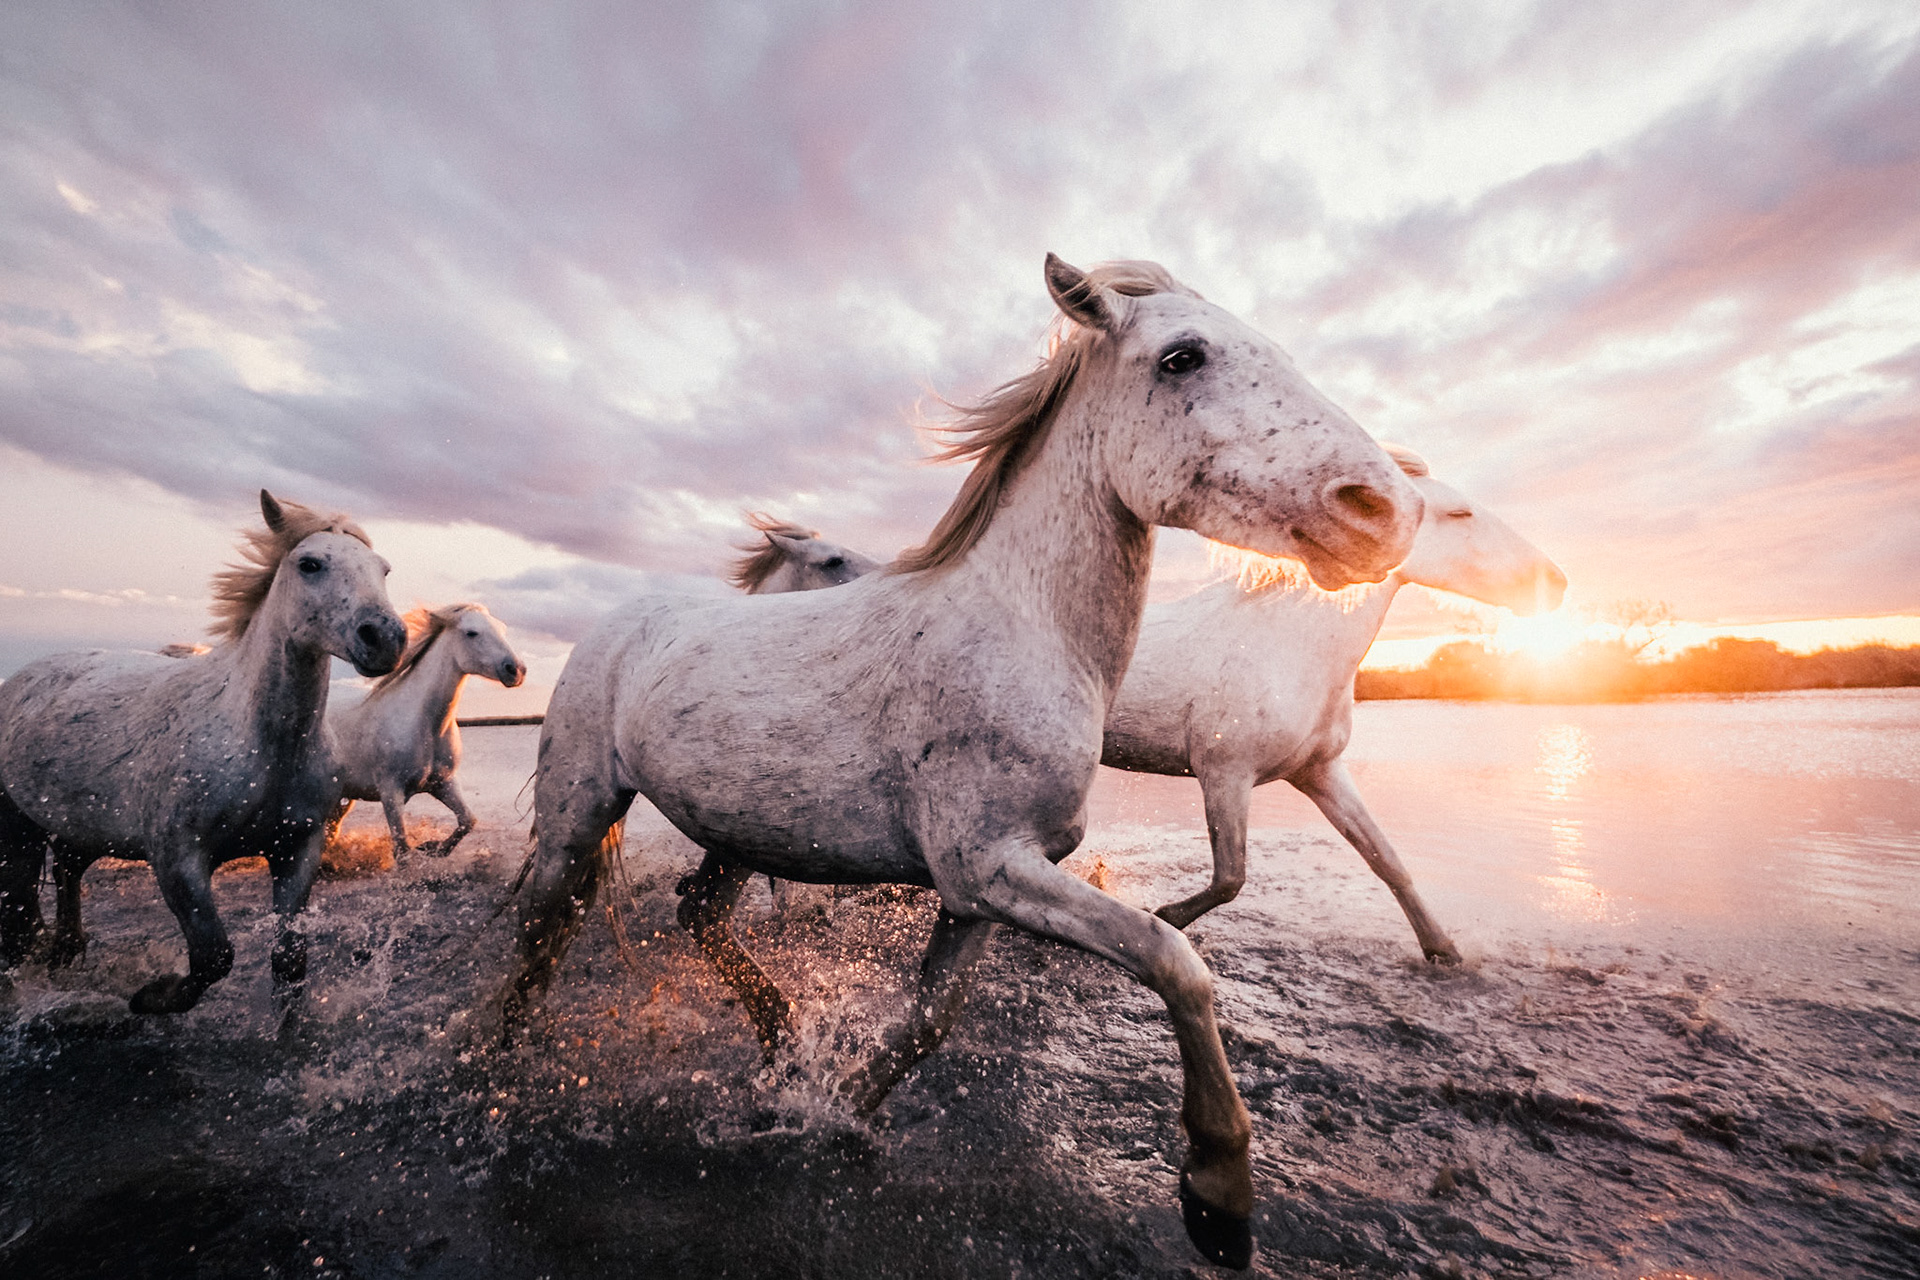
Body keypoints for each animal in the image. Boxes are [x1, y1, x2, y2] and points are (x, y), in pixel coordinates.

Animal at [0, 491, 406, 1015]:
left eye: (383, 570)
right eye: (310, 564)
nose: (386, 638)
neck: (263, 747)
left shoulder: (297, 850)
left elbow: (289, 960)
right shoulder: (178, 860)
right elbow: (214, 955)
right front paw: (151, 997)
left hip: (80, 830)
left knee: (68, 874)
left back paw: (67, 950)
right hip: (18, 830)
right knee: (18, 919)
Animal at [326, 603, 527, 861]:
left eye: (502, 628)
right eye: (471, 633)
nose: (516, 670)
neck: (425, 726)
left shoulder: (443, 783)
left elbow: (468, 820)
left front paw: (434, 848)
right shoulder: (391, 792)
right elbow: (402, 850)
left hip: (342, 796)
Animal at [500, 256, 1425, 1268]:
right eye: (1182, 357)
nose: (1385, 509)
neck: (1022, 633)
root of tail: (618, 625)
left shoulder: (981, 888)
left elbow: (928, 1022)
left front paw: (838, 1116)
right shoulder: (990, 868)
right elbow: (1173, 956)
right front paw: (1220, 1194)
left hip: (737, 833)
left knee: (697, 914)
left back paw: (782, 1051)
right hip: (580, 815)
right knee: (539, 939)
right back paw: (495, 1080)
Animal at [1102, 445, 1567, 961]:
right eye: (1460, 513)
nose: (1555, 582)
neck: (1291, 649)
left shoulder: (1320, 772)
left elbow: (1388, 861)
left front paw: (1443, 950)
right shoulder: (1225, 773)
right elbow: (1231, 877)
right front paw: (1164, 917)